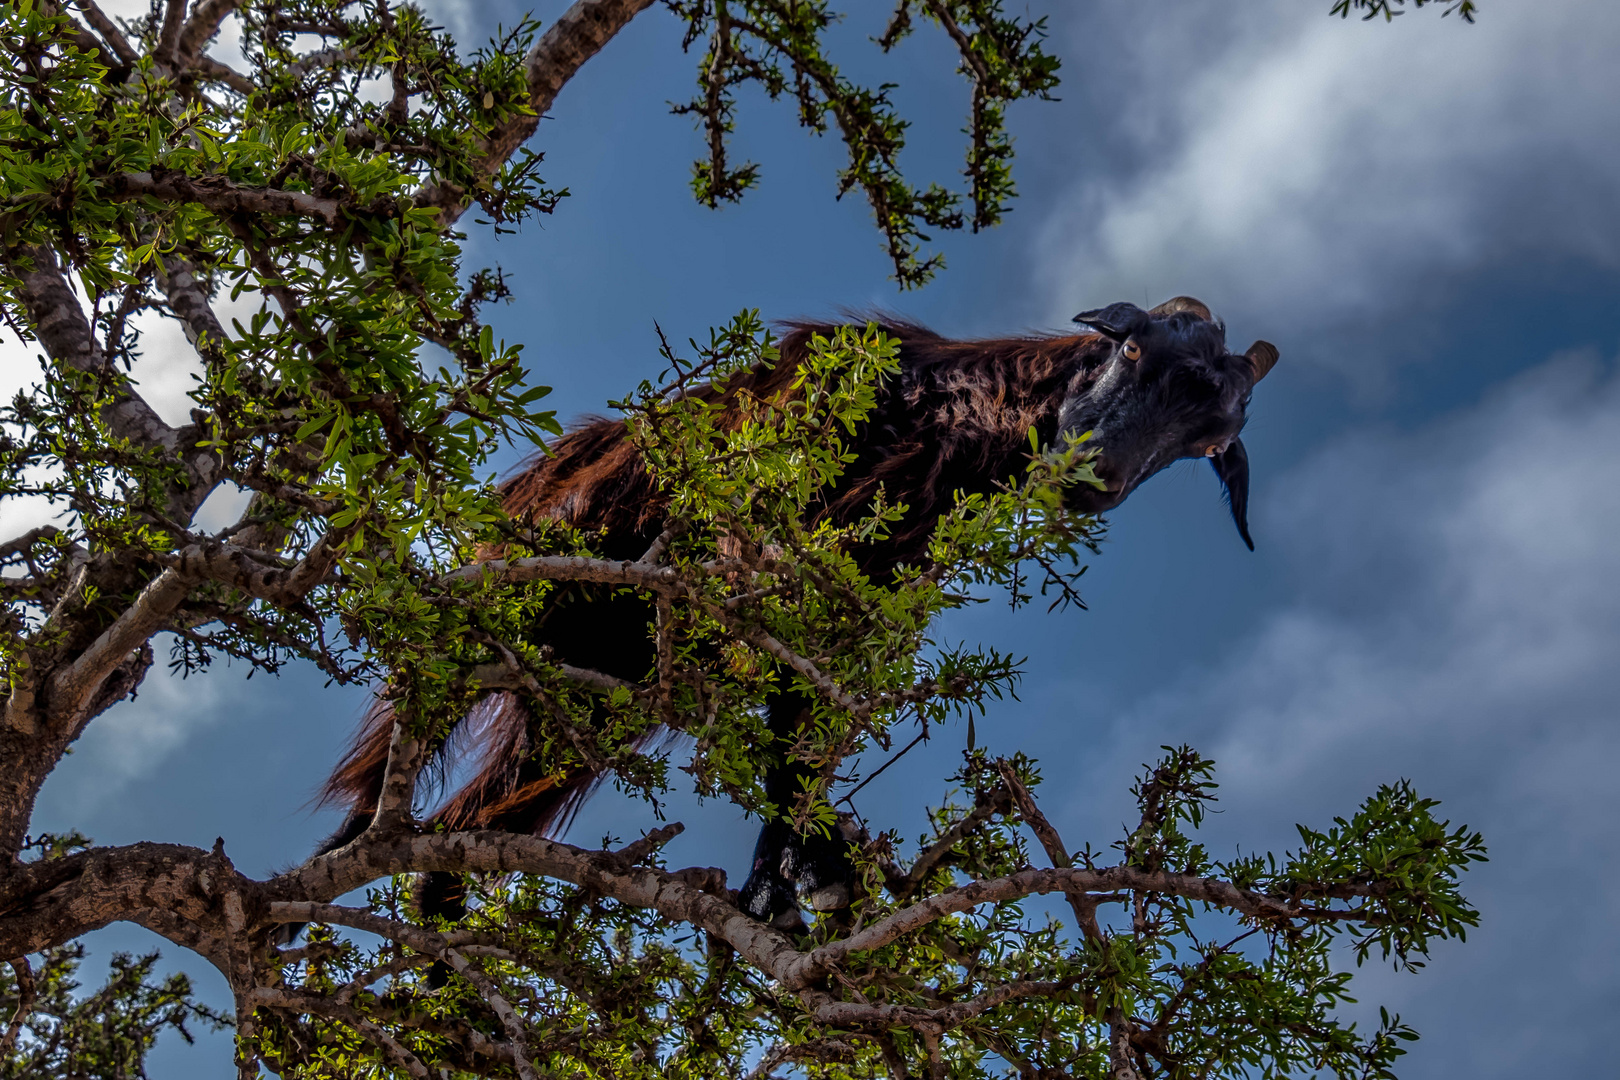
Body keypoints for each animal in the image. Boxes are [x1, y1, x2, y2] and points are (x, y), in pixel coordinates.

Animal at [306, 296, 1276, 932]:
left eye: (1211, 441)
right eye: (1134, 352)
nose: (1095, 474)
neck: (945, 412)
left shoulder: (855, 625)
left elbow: (808, 745)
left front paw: (790, 886)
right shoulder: (775, 570)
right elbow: (788, 734)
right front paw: (804, 881)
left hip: (585, 703)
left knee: (479, 820)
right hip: (495, 616)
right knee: (403, 757)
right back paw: (346, 859)